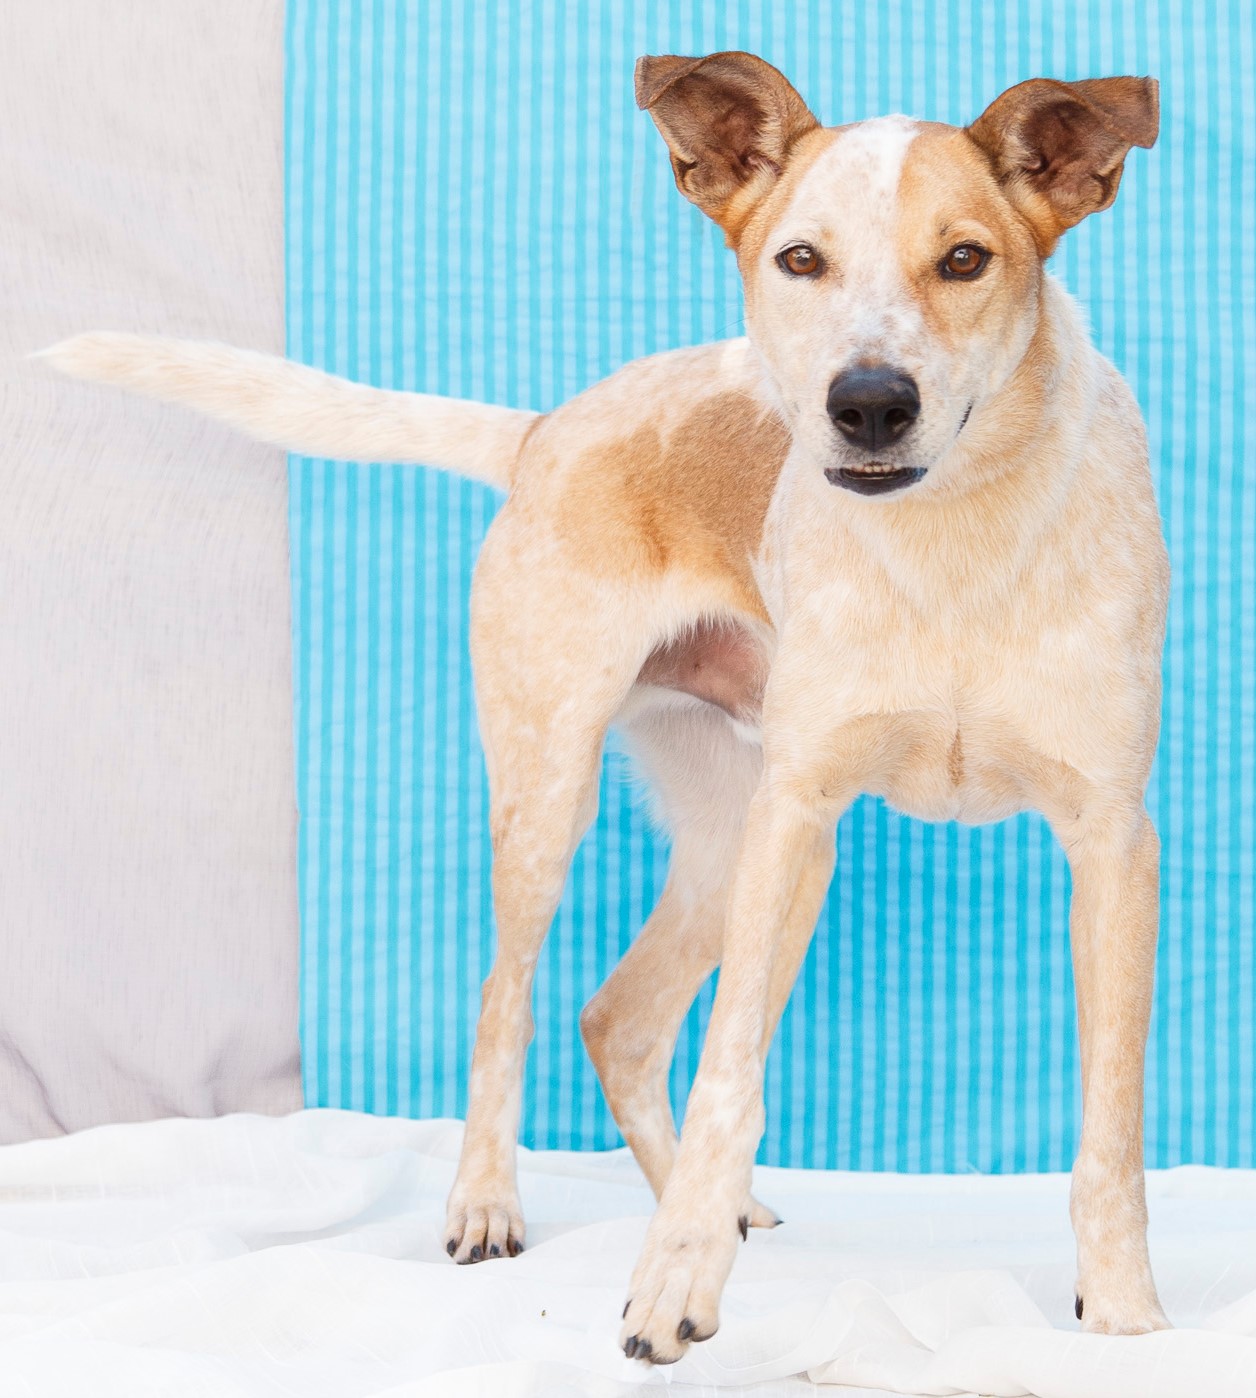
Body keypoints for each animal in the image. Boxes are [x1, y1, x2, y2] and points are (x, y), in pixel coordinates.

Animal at [48, 51, 1163, 1364]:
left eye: (964, 259)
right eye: (799, 260)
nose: (867, 404)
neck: (948, 538)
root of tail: (542, 432)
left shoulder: (1109, 842)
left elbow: (1109, 1123)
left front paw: (1127, 1318)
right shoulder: (797, 816)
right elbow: (731, 1073)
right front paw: (672, 1282)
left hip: (724, 837)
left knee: (617, 1019)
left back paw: (708, 1205)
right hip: (564, 793)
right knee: (511, 1005)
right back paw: (491, 1205)